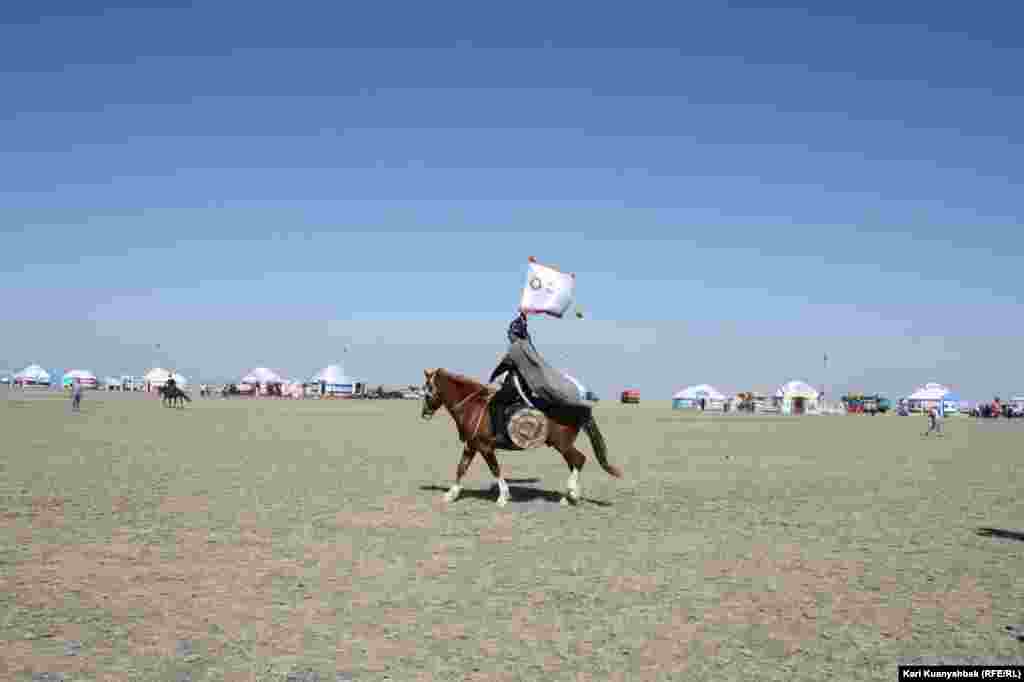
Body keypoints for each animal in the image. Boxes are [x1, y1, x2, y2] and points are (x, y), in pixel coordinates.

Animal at [417, 366, 622, 503]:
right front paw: (451, 494)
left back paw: (570, 494)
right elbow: (461, 467)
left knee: (579, 460)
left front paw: (503, 497)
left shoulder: (485, 446)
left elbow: (495, 469)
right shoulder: (471, 445)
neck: (472, 407)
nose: (424, 413)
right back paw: (571, 495)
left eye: (428, 389)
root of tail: (579, 408)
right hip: (563, 445)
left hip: (562, 444)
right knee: (574, 463)